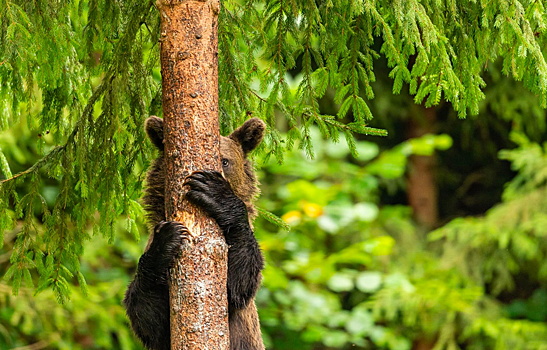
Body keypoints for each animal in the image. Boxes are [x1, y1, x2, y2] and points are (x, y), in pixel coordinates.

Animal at [126, 116, 268, 348]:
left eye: (225, 161)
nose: (215, 174)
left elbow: (237, 285)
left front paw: (214, 191)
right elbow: (147, 315)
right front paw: (167, 239)